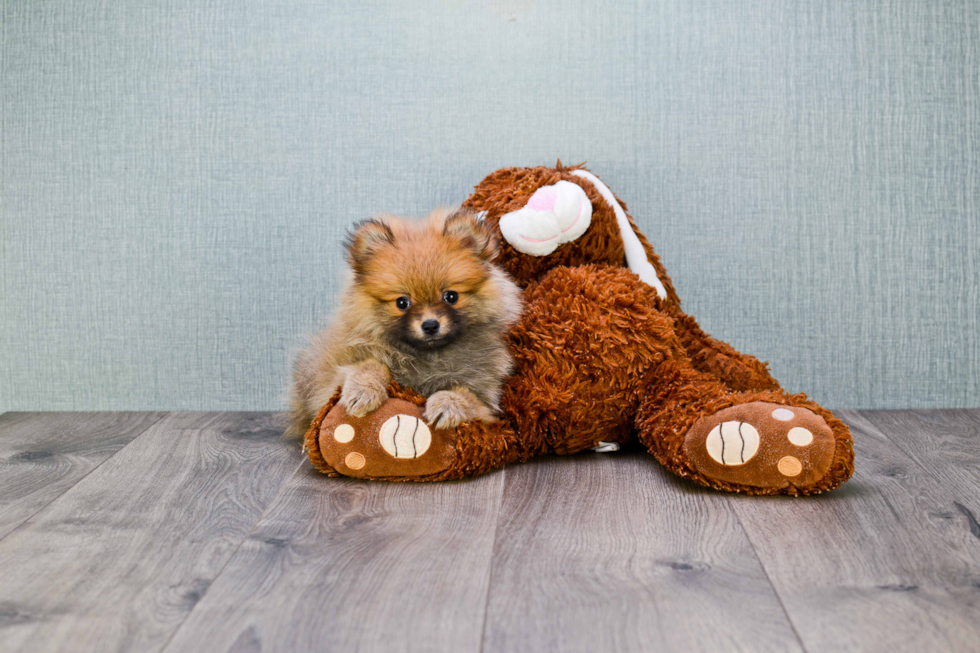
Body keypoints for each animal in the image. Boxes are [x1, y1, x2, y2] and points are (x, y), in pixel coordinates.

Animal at [288, 206, 524, 436]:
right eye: (402, 302)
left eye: (451, 296)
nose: (430, 325)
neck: (428, 356)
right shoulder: (331, 385)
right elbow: (370, 365)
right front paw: (363, 390)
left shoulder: (488, 406)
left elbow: (465, 394)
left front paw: (447, 404)